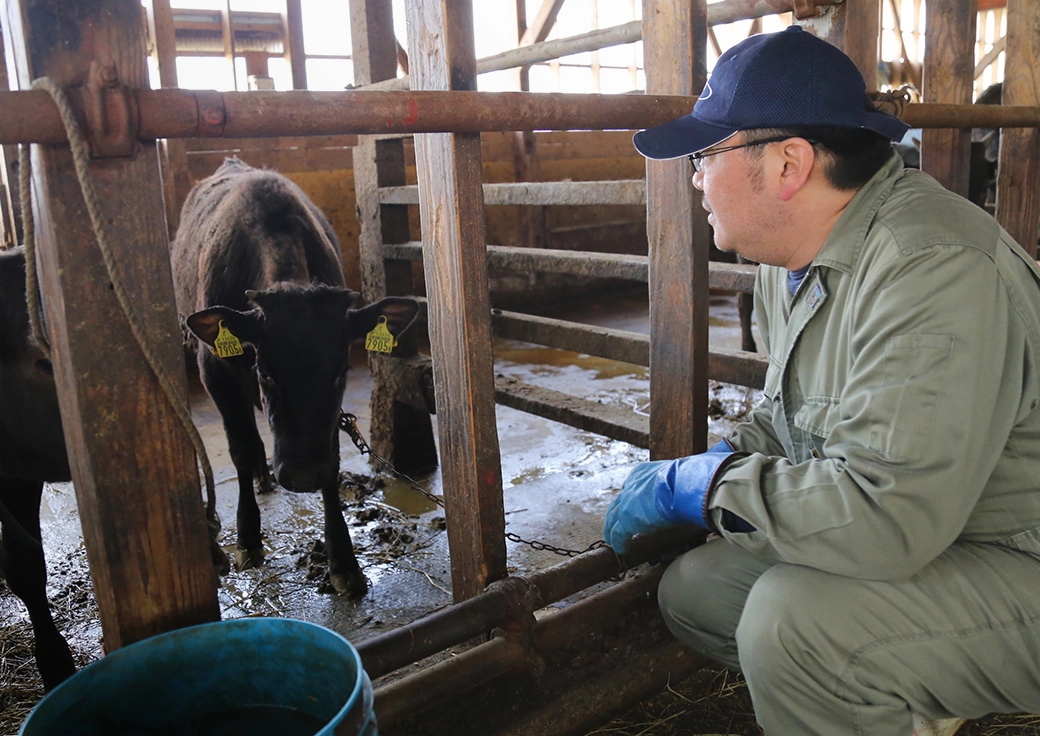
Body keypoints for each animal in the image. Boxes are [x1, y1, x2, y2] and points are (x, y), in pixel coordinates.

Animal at [171, 156, 418, 598]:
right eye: (266, 373)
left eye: (340, 373)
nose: (301, 475)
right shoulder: (214, 369)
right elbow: (241, 448)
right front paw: (247, 538)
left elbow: (331, 459)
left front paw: (344, 562)